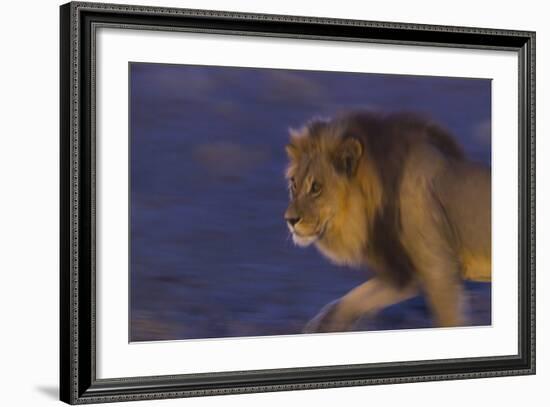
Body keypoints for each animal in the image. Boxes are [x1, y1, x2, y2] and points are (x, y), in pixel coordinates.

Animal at [284, 110, 492, 334]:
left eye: (316, 187)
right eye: (294, 184)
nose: (290, 220)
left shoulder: (439, 270)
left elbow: (449, 320)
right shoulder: (403, 270)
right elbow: (351, 300)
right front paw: (322, 326)